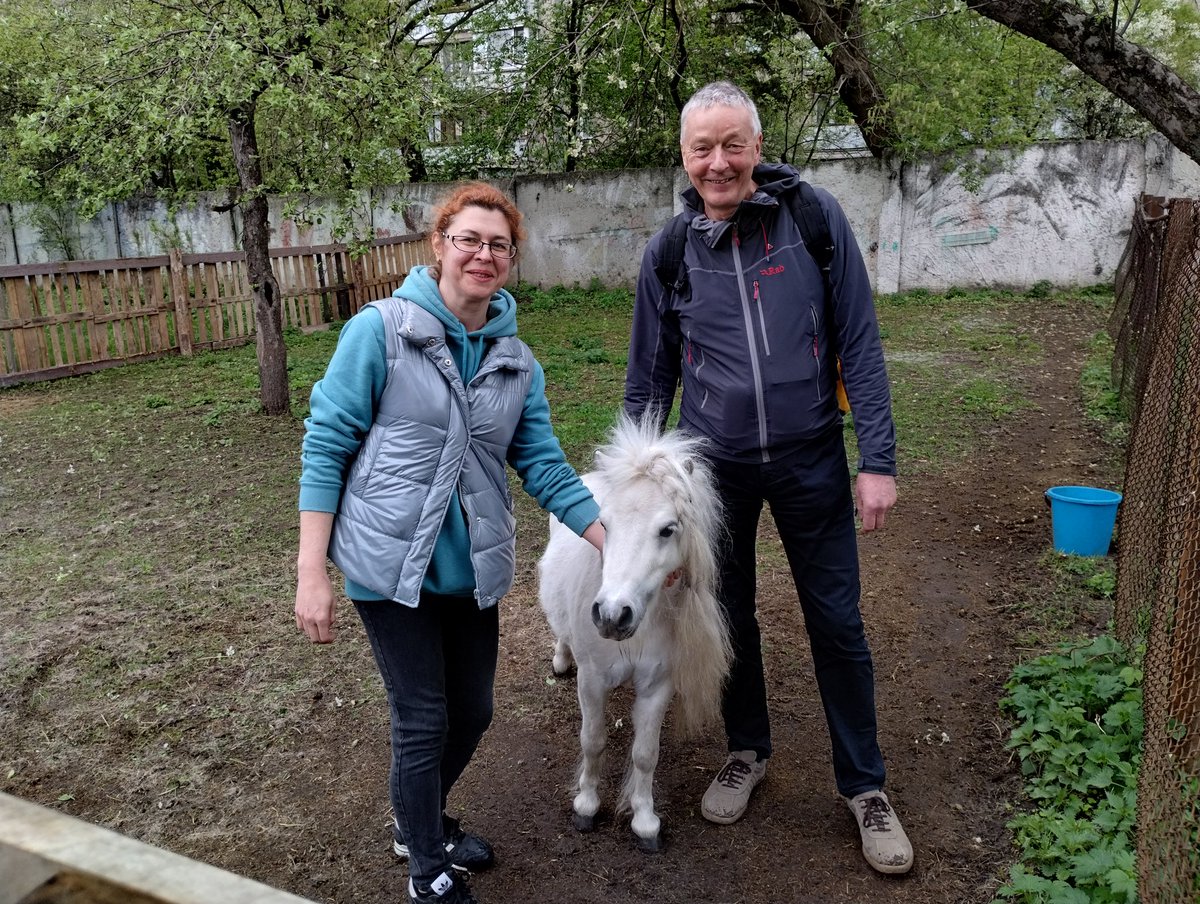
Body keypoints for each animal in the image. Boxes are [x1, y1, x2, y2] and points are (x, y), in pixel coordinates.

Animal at [537, 412, 729, 849]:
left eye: (668, 529)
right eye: (603, 524)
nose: (612, 615)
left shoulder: (658, 686)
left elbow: (645, 754)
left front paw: (644, 821)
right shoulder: (592, 681)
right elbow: (593, 741)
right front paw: (586, 806)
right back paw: (561, 658)